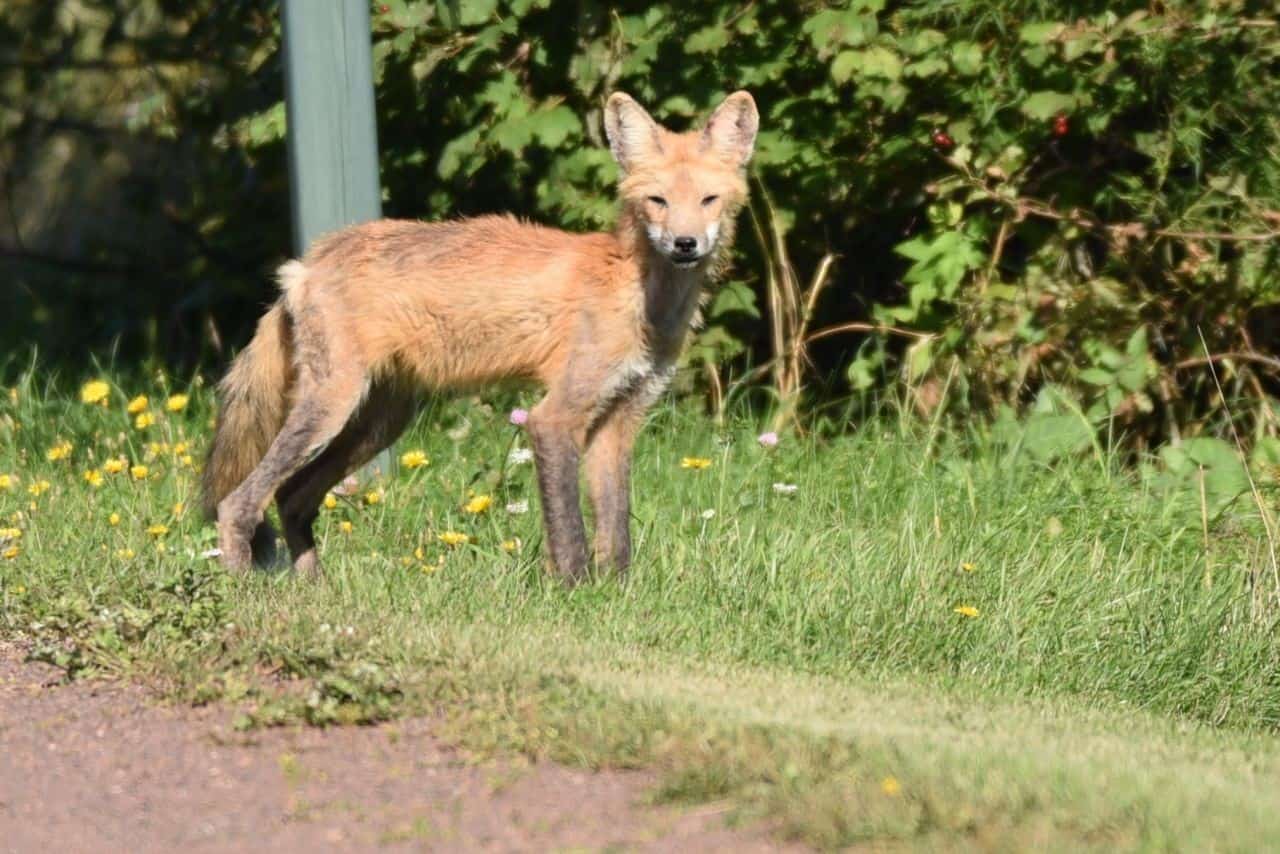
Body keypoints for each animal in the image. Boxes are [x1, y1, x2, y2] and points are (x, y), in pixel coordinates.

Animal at [203, 90, 752, 581]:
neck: (636, 297)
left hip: (377, 425)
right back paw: (243, 594)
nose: (685, 244)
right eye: (658, 201)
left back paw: (316, 590)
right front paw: (574, 595)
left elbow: (616, 533)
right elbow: (570, 532)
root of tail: (306, 263)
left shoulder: (619, 420)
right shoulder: (555, 417)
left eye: (709, 200)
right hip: (330, 408)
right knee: (239, 503)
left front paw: (617, 595)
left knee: (291, 499)